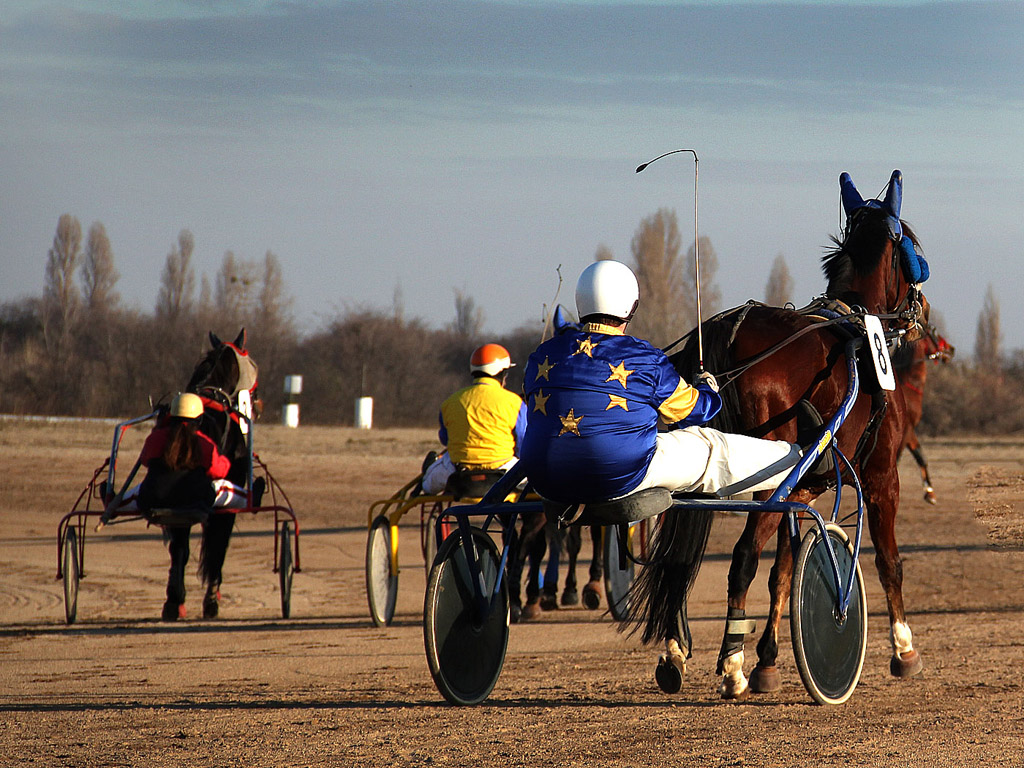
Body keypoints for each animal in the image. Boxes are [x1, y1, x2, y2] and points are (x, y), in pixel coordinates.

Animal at [163, 329, 260, 618]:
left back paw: (174, 601)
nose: (256, 403)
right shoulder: (227, 499)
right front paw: (212, 597)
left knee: (179, 546)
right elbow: (219, 546)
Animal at [626, 171, 933, 700]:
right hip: (767, 482)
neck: (856, 329)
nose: (923, 309)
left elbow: (784, 571)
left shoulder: (803, 487)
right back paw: (730, 665)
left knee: (679, 561)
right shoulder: (881, 477)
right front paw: (903, 648)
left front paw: (768, 659)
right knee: (742, 557)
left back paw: (674, 655)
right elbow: (888, 562)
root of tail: (727, 330)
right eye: (912, 246)